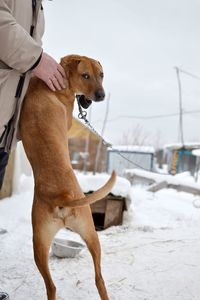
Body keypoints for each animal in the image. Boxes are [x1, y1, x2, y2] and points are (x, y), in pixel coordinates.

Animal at [19, 54, 115, 300]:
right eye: (85, 75)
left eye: (102, 75)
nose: (101, 95)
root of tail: (60, 197)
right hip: (90, 233)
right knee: (99, 279)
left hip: (41, 243)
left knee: (52, 286)